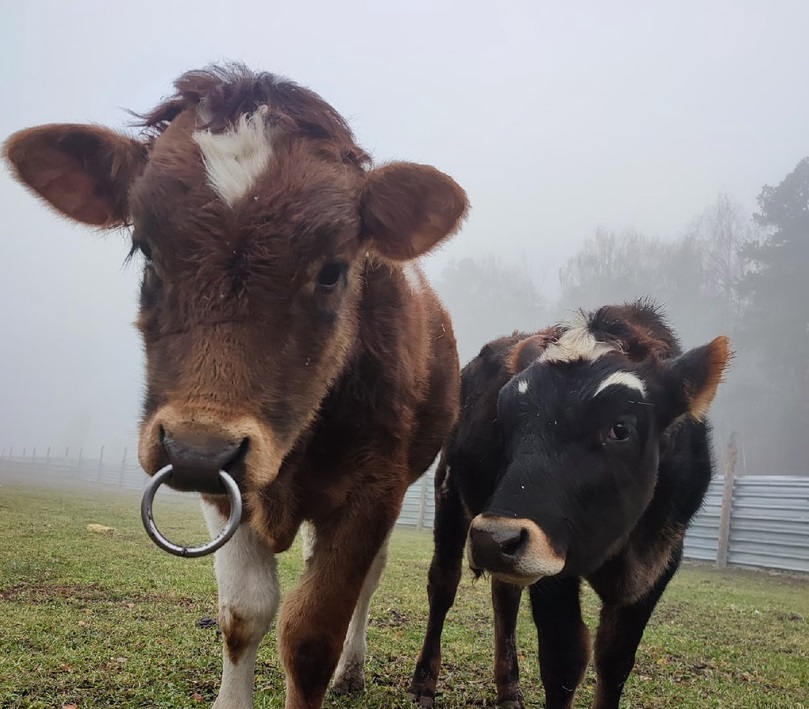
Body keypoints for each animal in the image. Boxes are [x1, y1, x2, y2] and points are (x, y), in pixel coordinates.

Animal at [4, 63, 468, 704]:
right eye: (145, 249)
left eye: (333, 271)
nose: (197, 451)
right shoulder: (221, 488)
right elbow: (245, 612)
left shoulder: (376, 489)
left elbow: (311, 635)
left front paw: (329, 661)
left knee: (372, 579)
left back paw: (353, 670)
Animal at [410, 302, 732, 708]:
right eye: (505, 423)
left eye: (621, 428)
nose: (492, 537)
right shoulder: (553, 562)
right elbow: (564, 659)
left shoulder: (661, 560)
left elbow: (614, 658)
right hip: (450, 496)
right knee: (443, 584)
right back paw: (424, 681)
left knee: (505, 597)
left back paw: (509, 688)